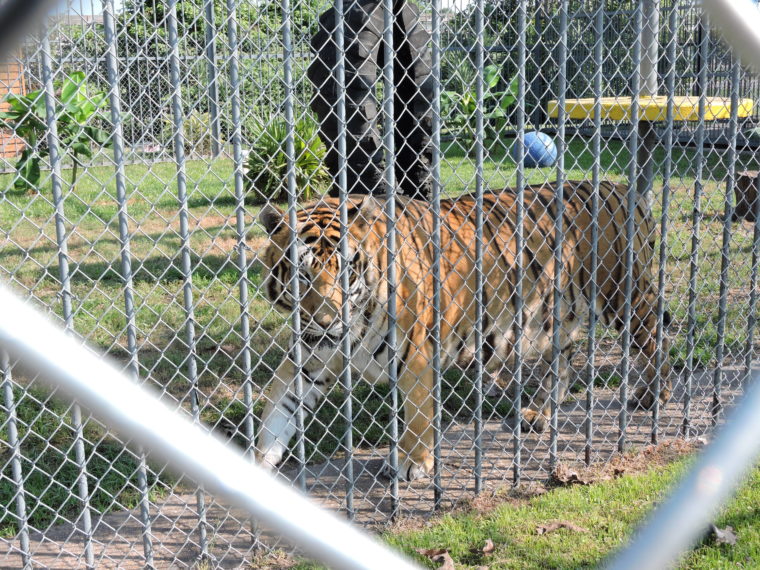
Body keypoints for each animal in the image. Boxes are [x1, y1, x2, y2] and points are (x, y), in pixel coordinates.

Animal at [254, 181, 672, 480]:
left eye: (344, 273)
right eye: (303, 276)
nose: (326, 322)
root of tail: (624, 189)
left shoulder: (416, 354)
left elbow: (418, 412)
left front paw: (411, 462)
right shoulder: (308, 359)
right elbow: (277, 413)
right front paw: (256, 467)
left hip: (623, 296)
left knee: (655, 334)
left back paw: (655, 394)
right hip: (555, 314)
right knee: (565, 357)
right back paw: (538, 412)